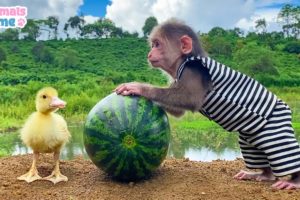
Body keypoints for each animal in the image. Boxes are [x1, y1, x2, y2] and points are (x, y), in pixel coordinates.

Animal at [114, 18, 300, 189]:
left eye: (157, 44)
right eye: (153, 45)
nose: (149, 54)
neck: (184, 60)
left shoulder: (193, 70)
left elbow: (189, 99)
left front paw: (137, 87)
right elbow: (179, 110)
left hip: (275, 127)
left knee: (281, 150)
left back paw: (293, 181)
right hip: (250, 138)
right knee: (256, 152)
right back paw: (263, 174)